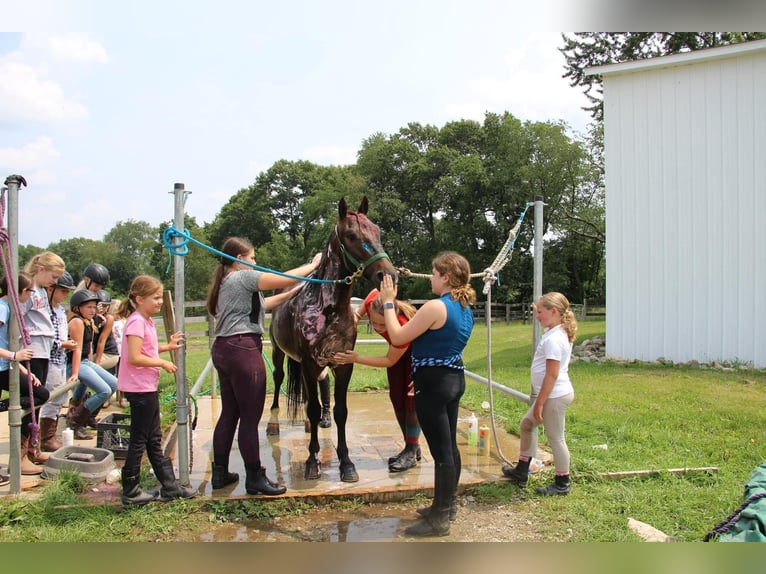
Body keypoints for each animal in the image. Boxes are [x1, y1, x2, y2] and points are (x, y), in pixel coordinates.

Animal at [270, 196, 400, 484]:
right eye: (351, 235)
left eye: (377, 231)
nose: (388, 275)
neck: (327, 309)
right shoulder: (310, 363)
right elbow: (313, 408)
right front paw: (312, 462)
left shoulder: (343, 364)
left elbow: (340, 411)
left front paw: (346, 464)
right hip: (278, 353)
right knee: (278, 380)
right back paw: (273, 423)